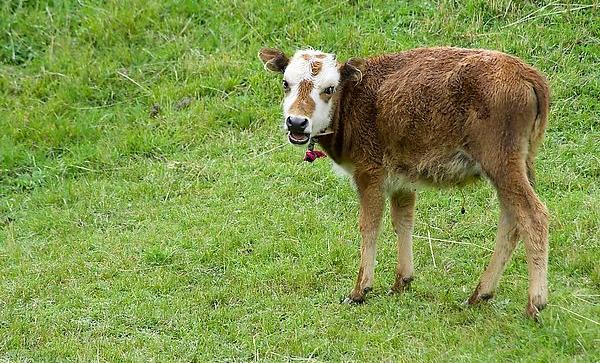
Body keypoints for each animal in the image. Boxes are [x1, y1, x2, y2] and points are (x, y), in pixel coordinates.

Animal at [258, 47, 548, 320]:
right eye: (285, 83)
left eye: (329, 89)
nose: (297, 122)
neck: (353, 99)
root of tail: (528, 75)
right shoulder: (402, 180)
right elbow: (403, 221)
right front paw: (402, 282)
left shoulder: (369, 173)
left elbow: (370, 225)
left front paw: (359, 290)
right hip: (517, 165)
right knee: (511, 220)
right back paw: (480, 294)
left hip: (500, 163)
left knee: (533, 215)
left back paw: (535, 303)